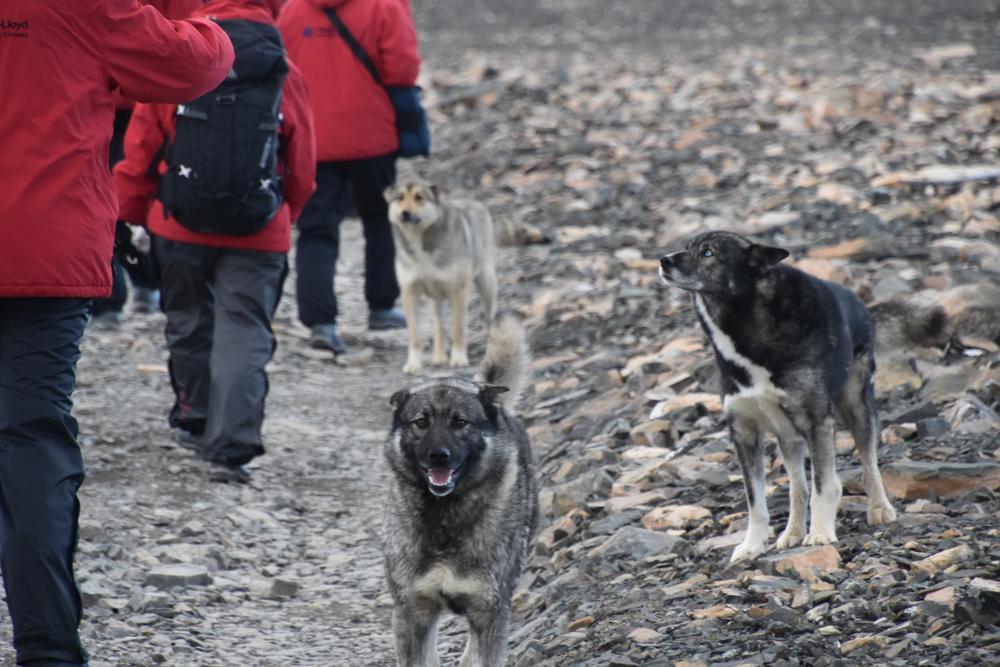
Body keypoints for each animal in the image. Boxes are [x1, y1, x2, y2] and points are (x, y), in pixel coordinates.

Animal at [382, 316, 540, 664]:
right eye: (421, 422)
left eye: (460, 422)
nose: (438, 455)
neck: (446, 517)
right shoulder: (412, 612)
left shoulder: (490, 611)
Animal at [384, 180, 498, 374]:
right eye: (399, 197)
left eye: (419, 197)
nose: (405, 213)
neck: (419, 241)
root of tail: (473, 201)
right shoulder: (409, 292)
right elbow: (415, 335)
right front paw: (413, 364)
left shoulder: (459, 290)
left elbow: (458, 329)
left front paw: (459, 358)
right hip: (435, 297)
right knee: (438, 325)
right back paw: (438, 357)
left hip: (486, 282)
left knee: (490, 318)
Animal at [660, 232, 940, 560]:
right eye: (687, 247)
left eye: (708, 253)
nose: (663, 260)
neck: (745, 322)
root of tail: (863, 307)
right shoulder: (744, 433)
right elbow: (756, 500)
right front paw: (752, 545)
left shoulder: (818, 422)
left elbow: (824, 484)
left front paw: (820, 533)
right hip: (787, 435)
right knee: (797, 485)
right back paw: (792, 532)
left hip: (856, 406)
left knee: (868, 459)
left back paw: (880, 508)